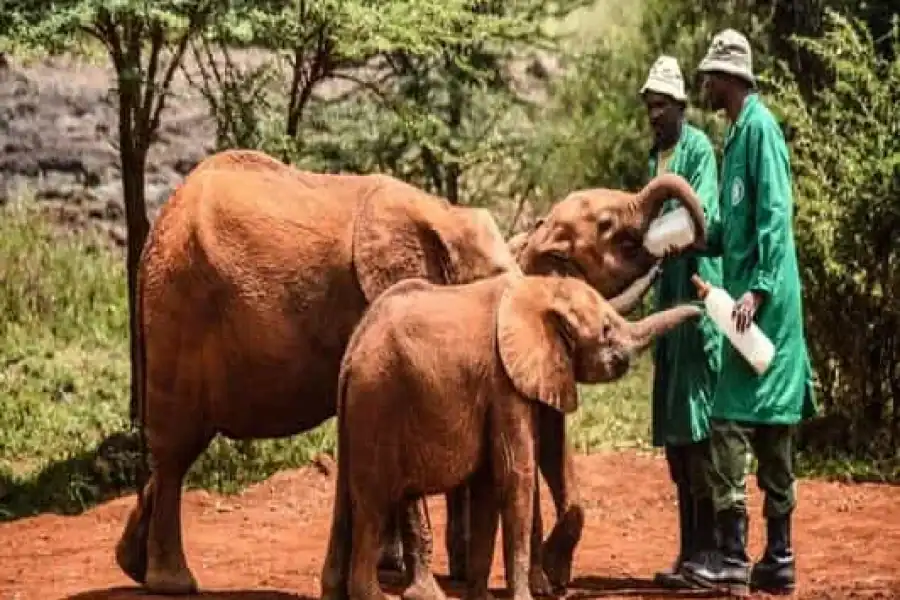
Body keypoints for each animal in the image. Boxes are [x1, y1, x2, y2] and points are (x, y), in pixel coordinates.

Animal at [113, 149, 521, 594]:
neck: (444, 214)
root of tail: (151, 240)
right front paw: (418, 588)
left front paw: (396, 571)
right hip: (181, 312)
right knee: (176, 449)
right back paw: (172, 583)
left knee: (174, 445)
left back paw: (131, 564)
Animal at [319, 272, 704, 600]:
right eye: (606, 330)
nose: (702, 306)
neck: (541, 291)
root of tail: (352, 352)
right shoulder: (503, 381)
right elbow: (514, 475)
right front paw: (527, 594)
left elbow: (499, 480)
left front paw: (491, 595)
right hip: (378, 402)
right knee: (374, 501)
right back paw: (374, 594)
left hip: (363, 412)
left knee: (351, 500)